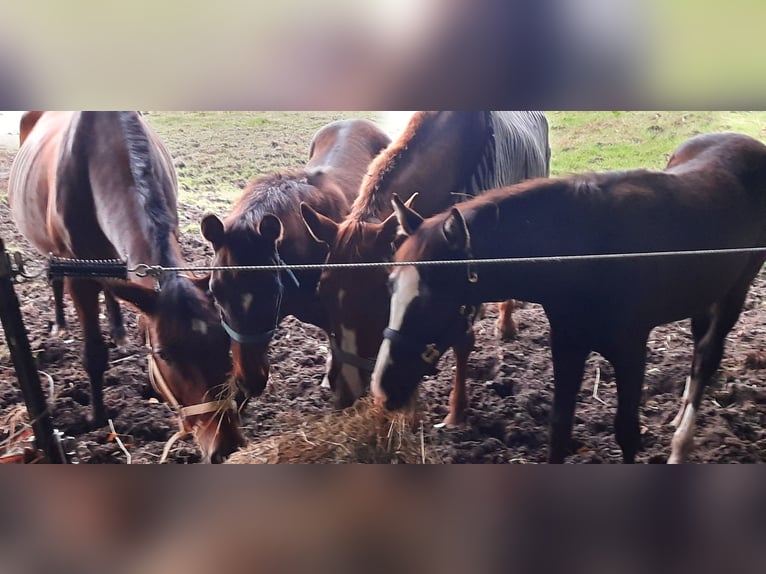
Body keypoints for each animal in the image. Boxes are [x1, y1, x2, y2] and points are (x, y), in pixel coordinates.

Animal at [8, 111, 243, 464]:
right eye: (164, 354)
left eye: (223, 342)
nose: (225, 445)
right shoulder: (78, 275)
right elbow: (93, 352)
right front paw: (97, 417)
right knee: (56, 280)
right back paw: (61, 324)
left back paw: (118, 329)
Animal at [376, 133, 766, 466]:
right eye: (391, 286)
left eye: (433, 299)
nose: (382, 387)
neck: (591, 253)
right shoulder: (567, 343)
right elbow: (560, 428)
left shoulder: (631, 351)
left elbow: (627, 433)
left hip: (734, 293)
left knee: (707, 358)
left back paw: (680, 445)